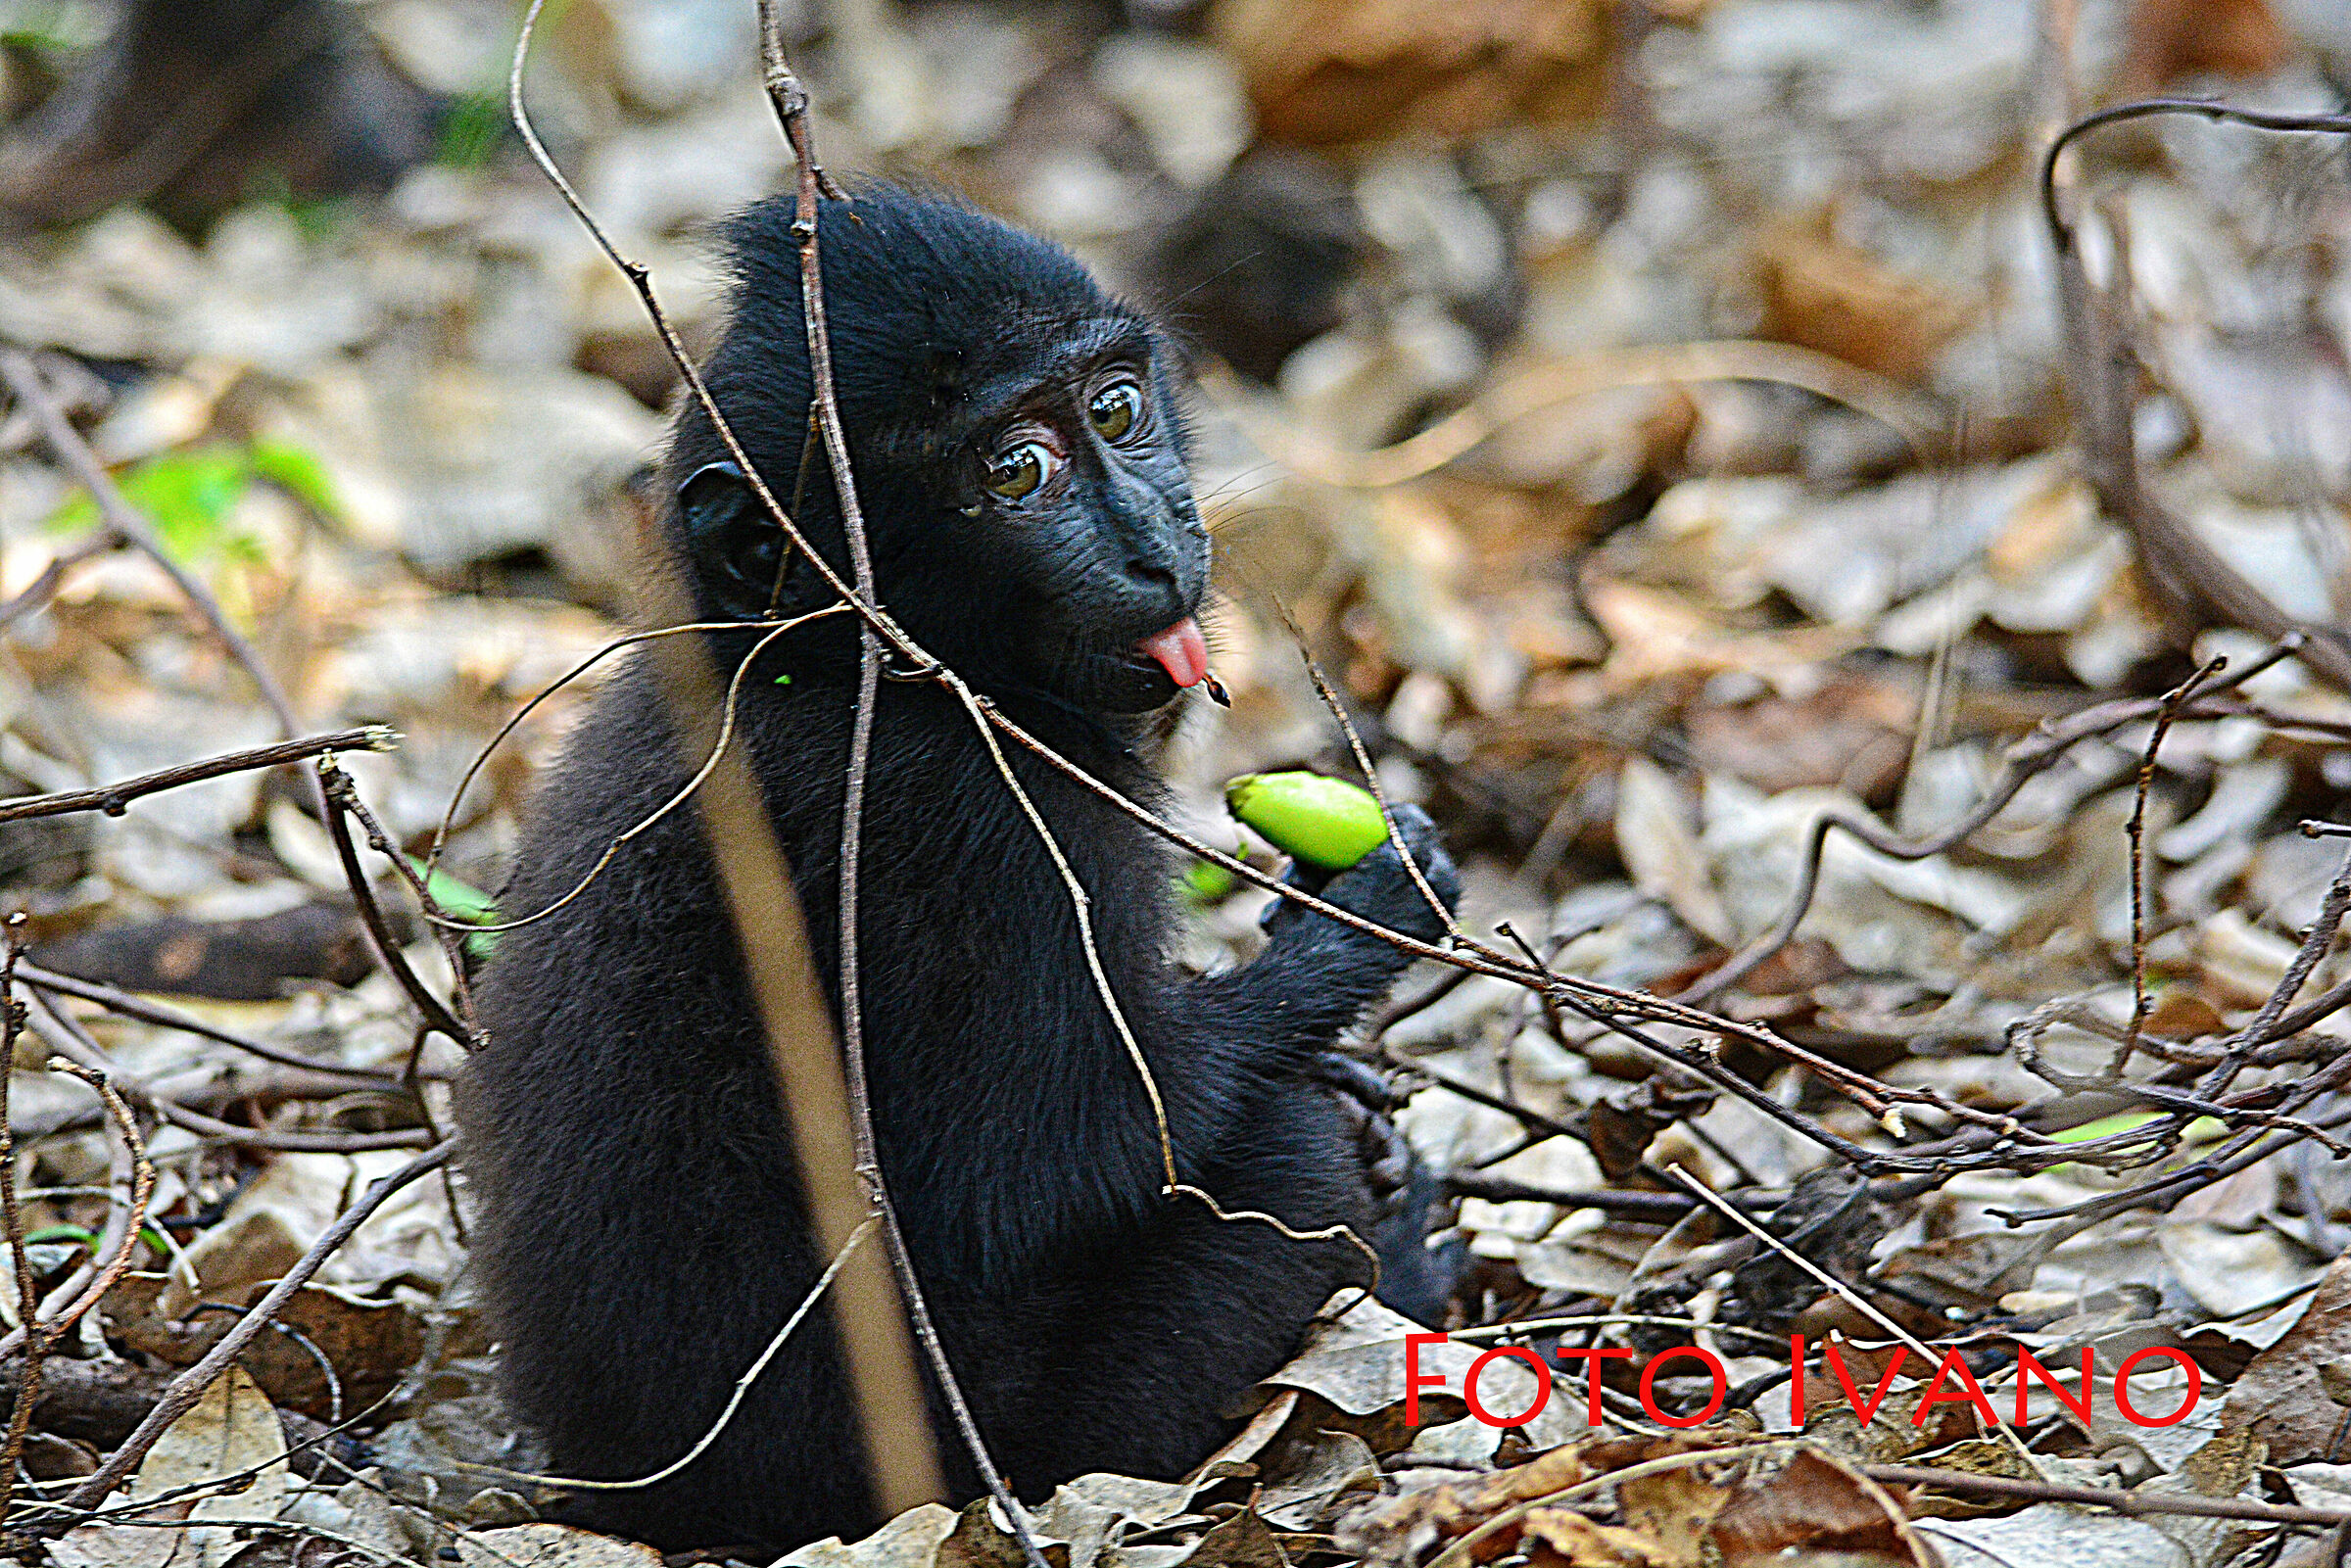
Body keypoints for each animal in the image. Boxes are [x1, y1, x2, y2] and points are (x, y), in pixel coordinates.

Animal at [458, 185, 1460, 1555]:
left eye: (1115, 408)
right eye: (1014, 471)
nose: (1159, 545)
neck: (826, 662)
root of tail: (632, 1494)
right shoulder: (973, 824)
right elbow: (1056, 1163)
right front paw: (1358, 922)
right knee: (1281, 1155)